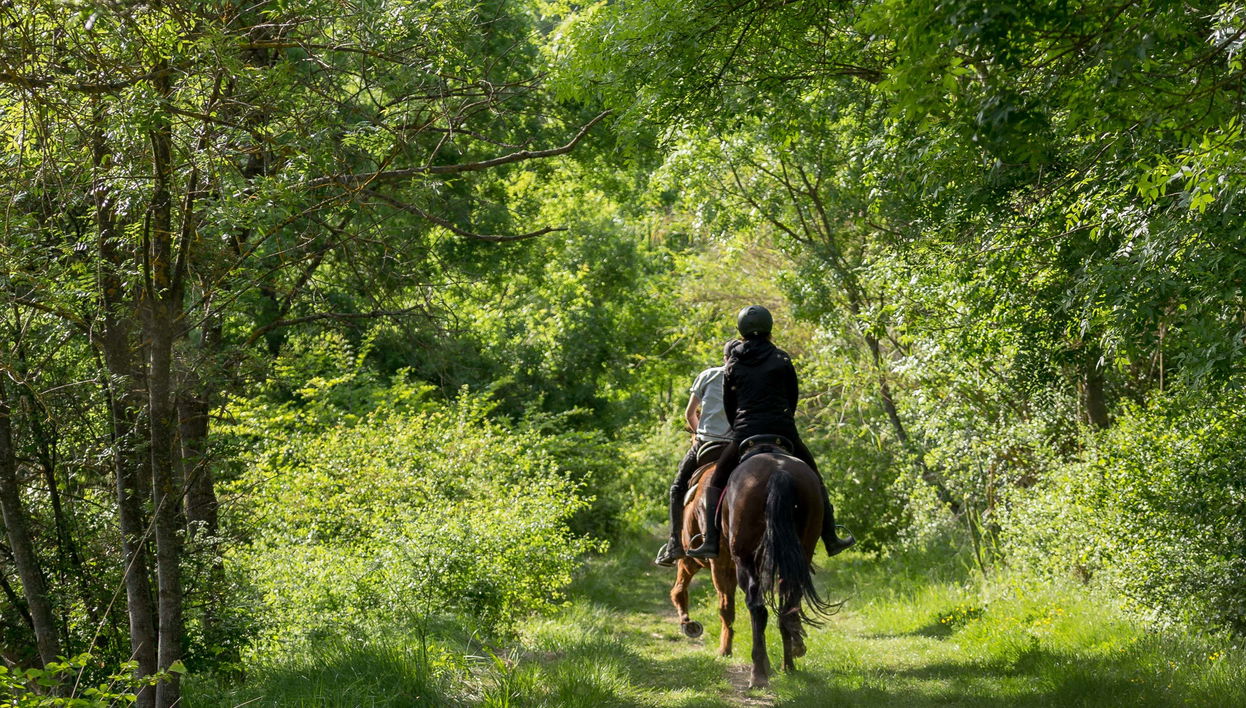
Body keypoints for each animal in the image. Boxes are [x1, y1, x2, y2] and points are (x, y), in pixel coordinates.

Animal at [669, 446, 836, 688]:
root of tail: (779, 472)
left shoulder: (706, 560)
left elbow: (711, 602)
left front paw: (718, 645)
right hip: (798, 551)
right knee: (788, 605)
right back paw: (789, 663)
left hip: (740, 561)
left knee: (755, 608)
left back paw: (758, 674)